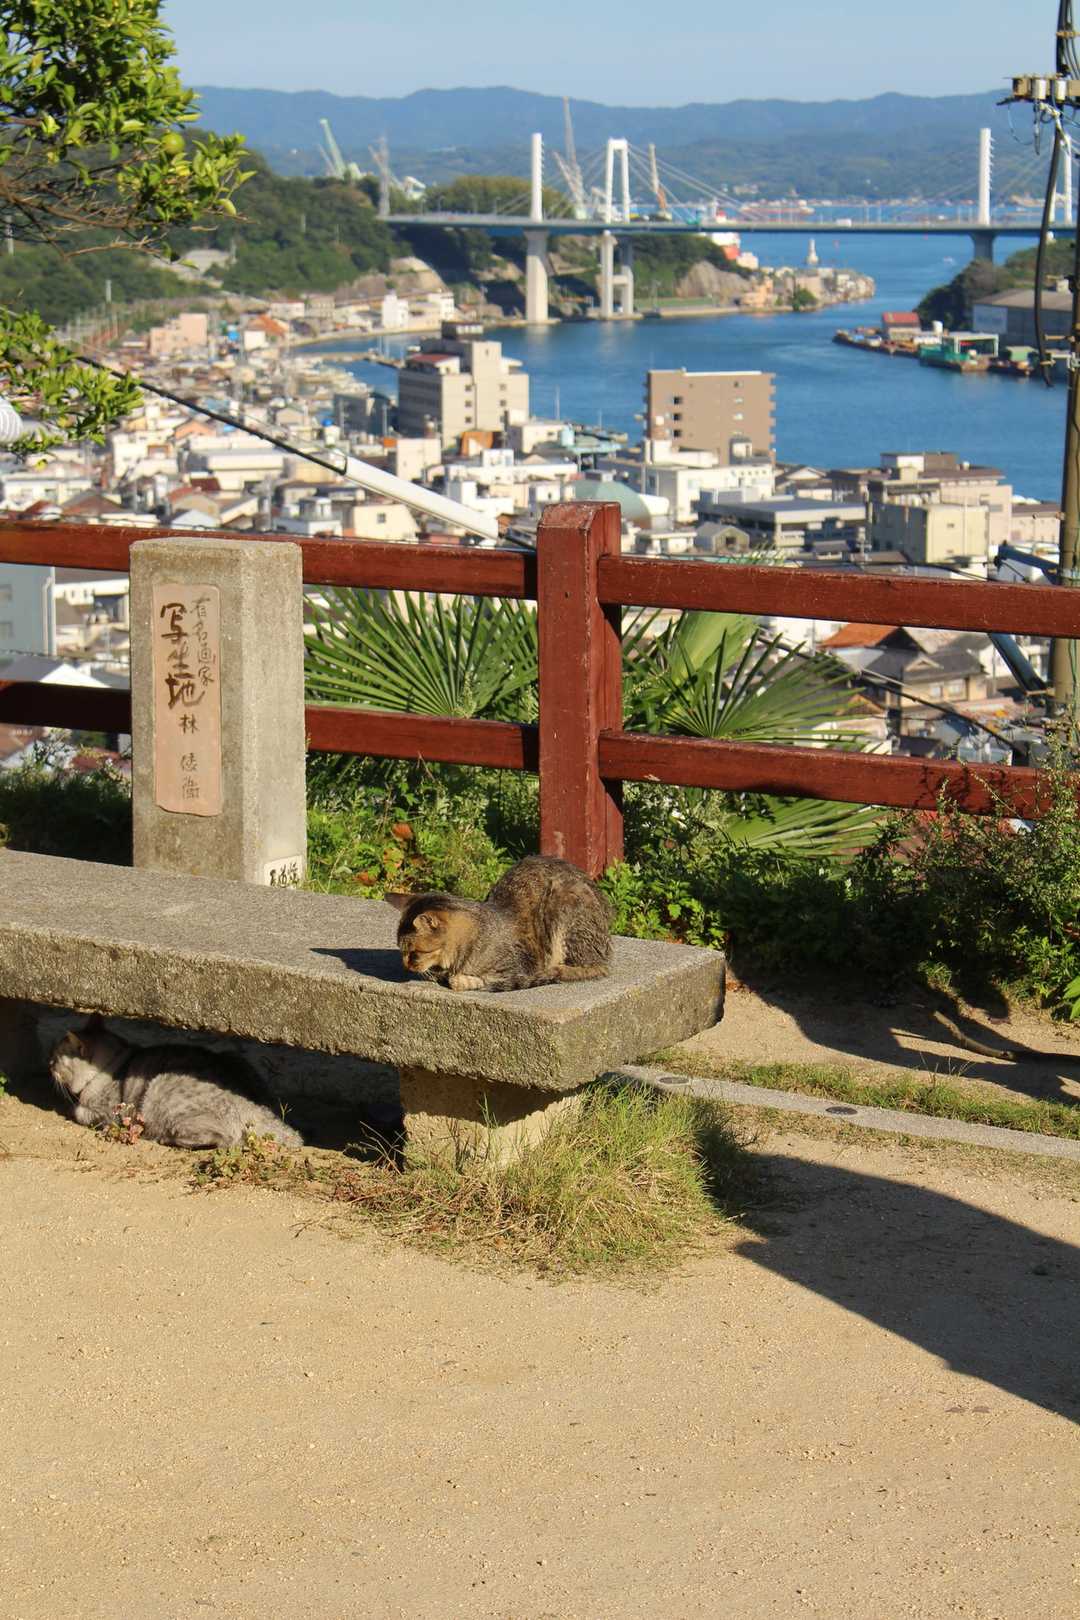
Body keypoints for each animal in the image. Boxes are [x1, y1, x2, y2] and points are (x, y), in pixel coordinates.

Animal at [49, 1015, 302, 1149]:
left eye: (56, 1057)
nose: (48, 1064)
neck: (113, 1061)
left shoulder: (110, 1113)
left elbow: (79, 1111)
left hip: (160, 1097)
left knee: (222, 1139)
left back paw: (164, 1138)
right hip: (235, 1057)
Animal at [386, 854, 612, 993]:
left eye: (414, 953)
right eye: (401, 950)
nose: (405, 965)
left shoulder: (520, 969)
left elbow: (474, 980)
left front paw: (462, 979)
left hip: (564, 902)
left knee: (592, 968)